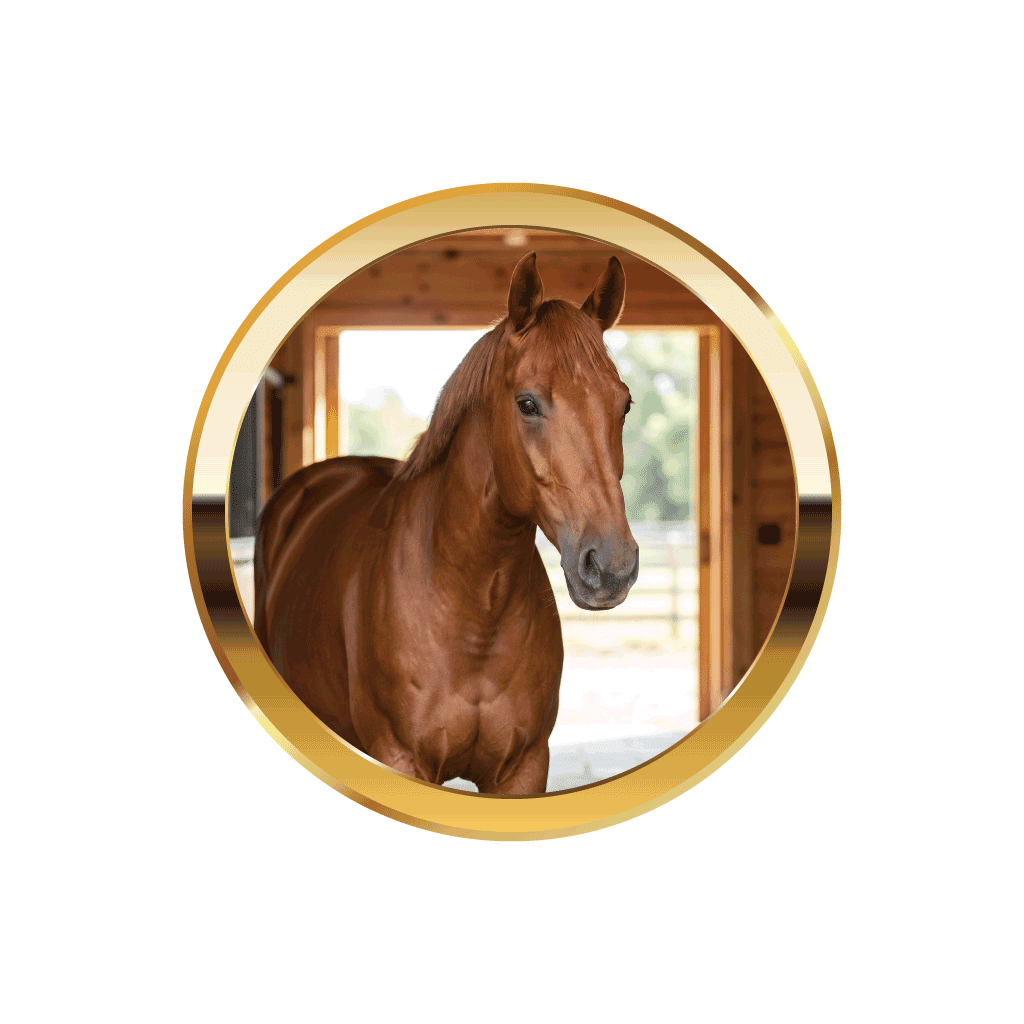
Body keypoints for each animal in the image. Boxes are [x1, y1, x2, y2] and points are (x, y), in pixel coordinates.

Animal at [254, 252, 639, 794]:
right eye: (527, 403)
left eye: (623, 403)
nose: (610, 567)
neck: (471, 609)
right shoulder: (401, 760)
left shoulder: (523, 769)